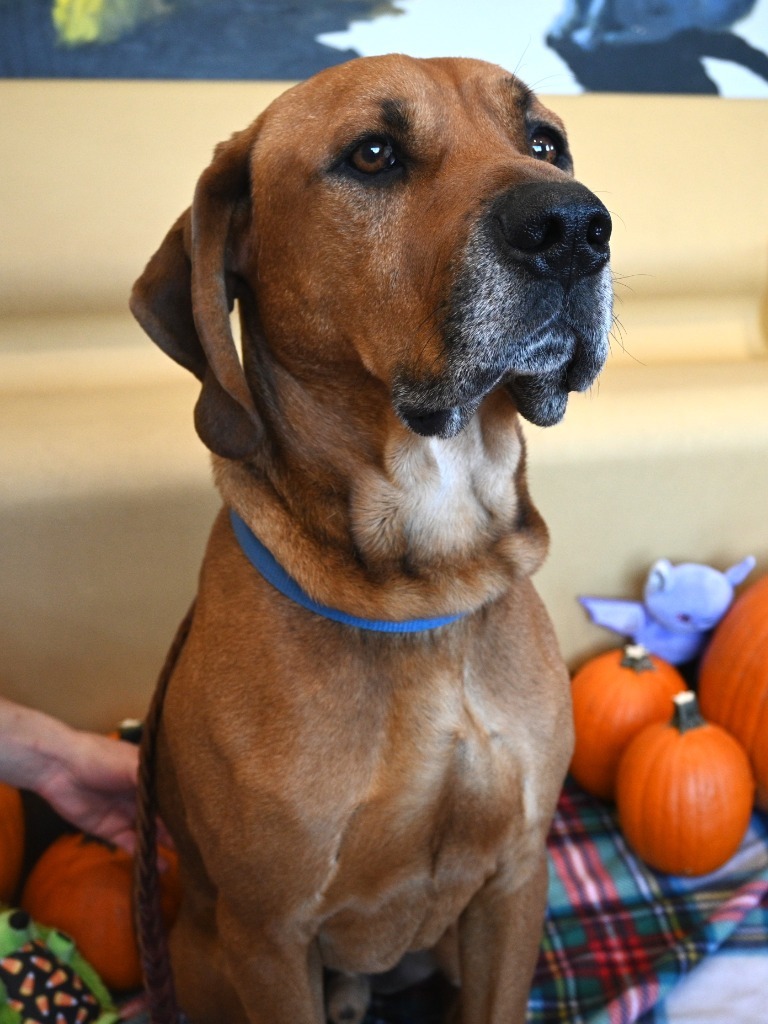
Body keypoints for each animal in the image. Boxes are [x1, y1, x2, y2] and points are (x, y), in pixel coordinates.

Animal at [131, 54, 614, 1024]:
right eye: (374, 154)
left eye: (545, 142)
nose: (576, 228)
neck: (424, 581)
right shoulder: (268, 938)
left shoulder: (515, 879)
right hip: (203, 955)